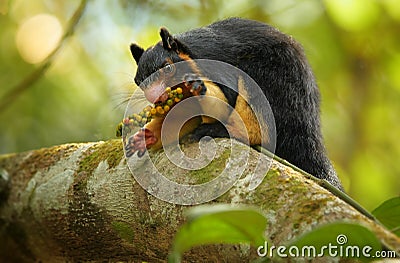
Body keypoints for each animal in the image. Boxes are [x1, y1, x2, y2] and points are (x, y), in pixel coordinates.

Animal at [123, 17, 342, 190]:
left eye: (168, 68)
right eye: (138, 81)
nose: (157, 97)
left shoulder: (215, 66)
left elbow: (224, 99)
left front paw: (198, 87)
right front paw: (146, 136)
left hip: (270, 81)